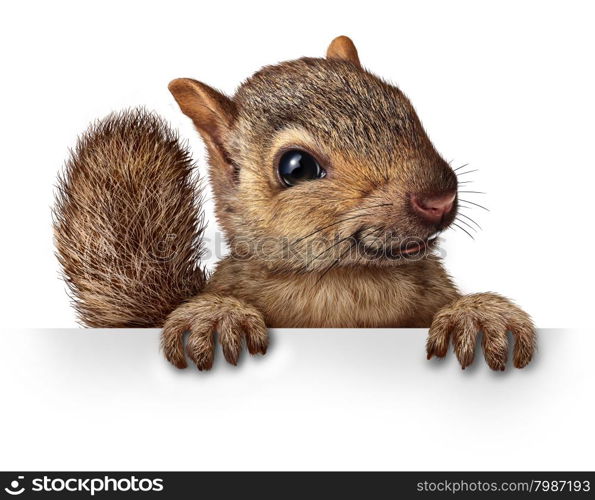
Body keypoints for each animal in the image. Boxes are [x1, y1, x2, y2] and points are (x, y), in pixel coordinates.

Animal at [53, 36, 536, 372]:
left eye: (405, 109)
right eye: (296, 167)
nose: (438, 198)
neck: (344, 284)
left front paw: (477, 317)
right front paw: (217, 317)